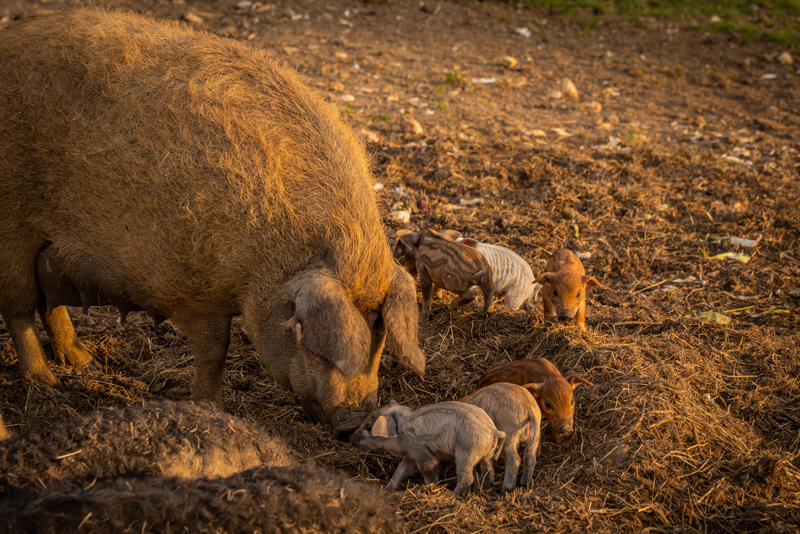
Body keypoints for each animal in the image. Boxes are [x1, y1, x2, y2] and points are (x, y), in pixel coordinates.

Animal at [0, 9, 424, 435]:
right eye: (304, 333)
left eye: (379, 335)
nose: (355, 421)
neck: (269, 259)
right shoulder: (192, 292)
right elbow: (214, 352)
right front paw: (214, 411)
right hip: (12, 227)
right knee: (19, 307)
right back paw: (44, 382)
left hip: (46, 249)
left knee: (48, 303)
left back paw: (86, 364)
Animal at [350, 400, 505, 495]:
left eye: (368, 427)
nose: (350, 438)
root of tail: (491, 429)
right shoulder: (411, 455)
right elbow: (400, 470)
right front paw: (388, 488)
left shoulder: (422, 454)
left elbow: (429, 471)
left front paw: (429, 488)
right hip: (487, 454)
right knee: (488, 472)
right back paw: (483, 490)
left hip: (467, 451)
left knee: (467, 477)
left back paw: (454, 495)